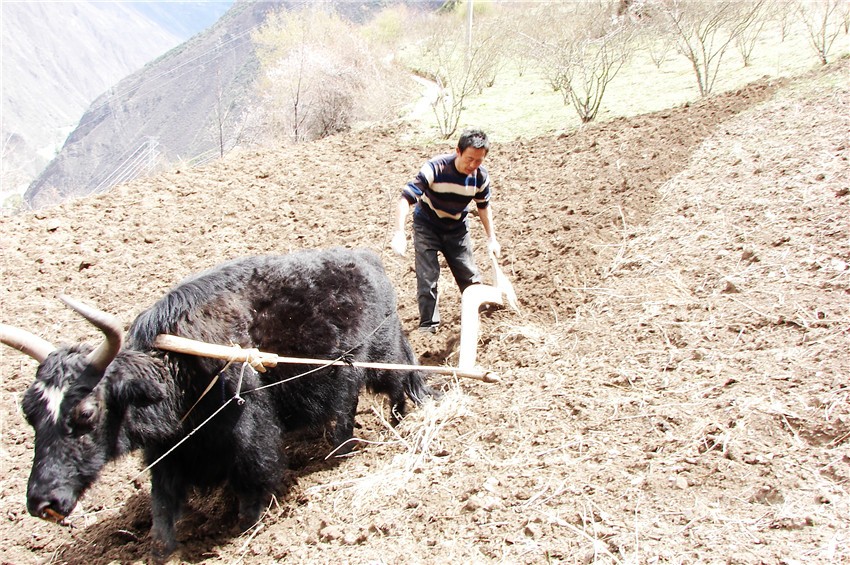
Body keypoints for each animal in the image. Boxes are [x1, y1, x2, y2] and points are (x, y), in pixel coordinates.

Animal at [0, 247, 434, 560]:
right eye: (29, 414)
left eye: (86, 413)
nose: (41, 502)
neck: (177, 367)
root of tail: (368, 259)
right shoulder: (169, 454)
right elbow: (162, 512)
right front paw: (162, 550)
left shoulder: (249, 438)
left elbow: (252, 486)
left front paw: (247, 529)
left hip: (379, 356)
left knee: (396, 385)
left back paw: (399, 424)